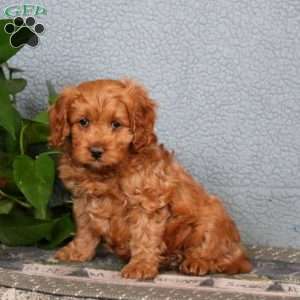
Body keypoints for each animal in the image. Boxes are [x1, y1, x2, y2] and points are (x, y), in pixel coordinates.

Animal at [48, 79, 251, 278]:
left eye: (116, 124)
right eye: (83, 122)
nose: (96, 151)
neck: (106, 173)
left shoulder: (147, 201)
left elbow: (144, 236)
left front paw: (141, 266)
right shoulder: (83, 199)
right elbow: (85, 229)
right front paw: (77, 252)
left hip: (213, 219)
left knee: (224, 258)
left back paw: (197, 262)